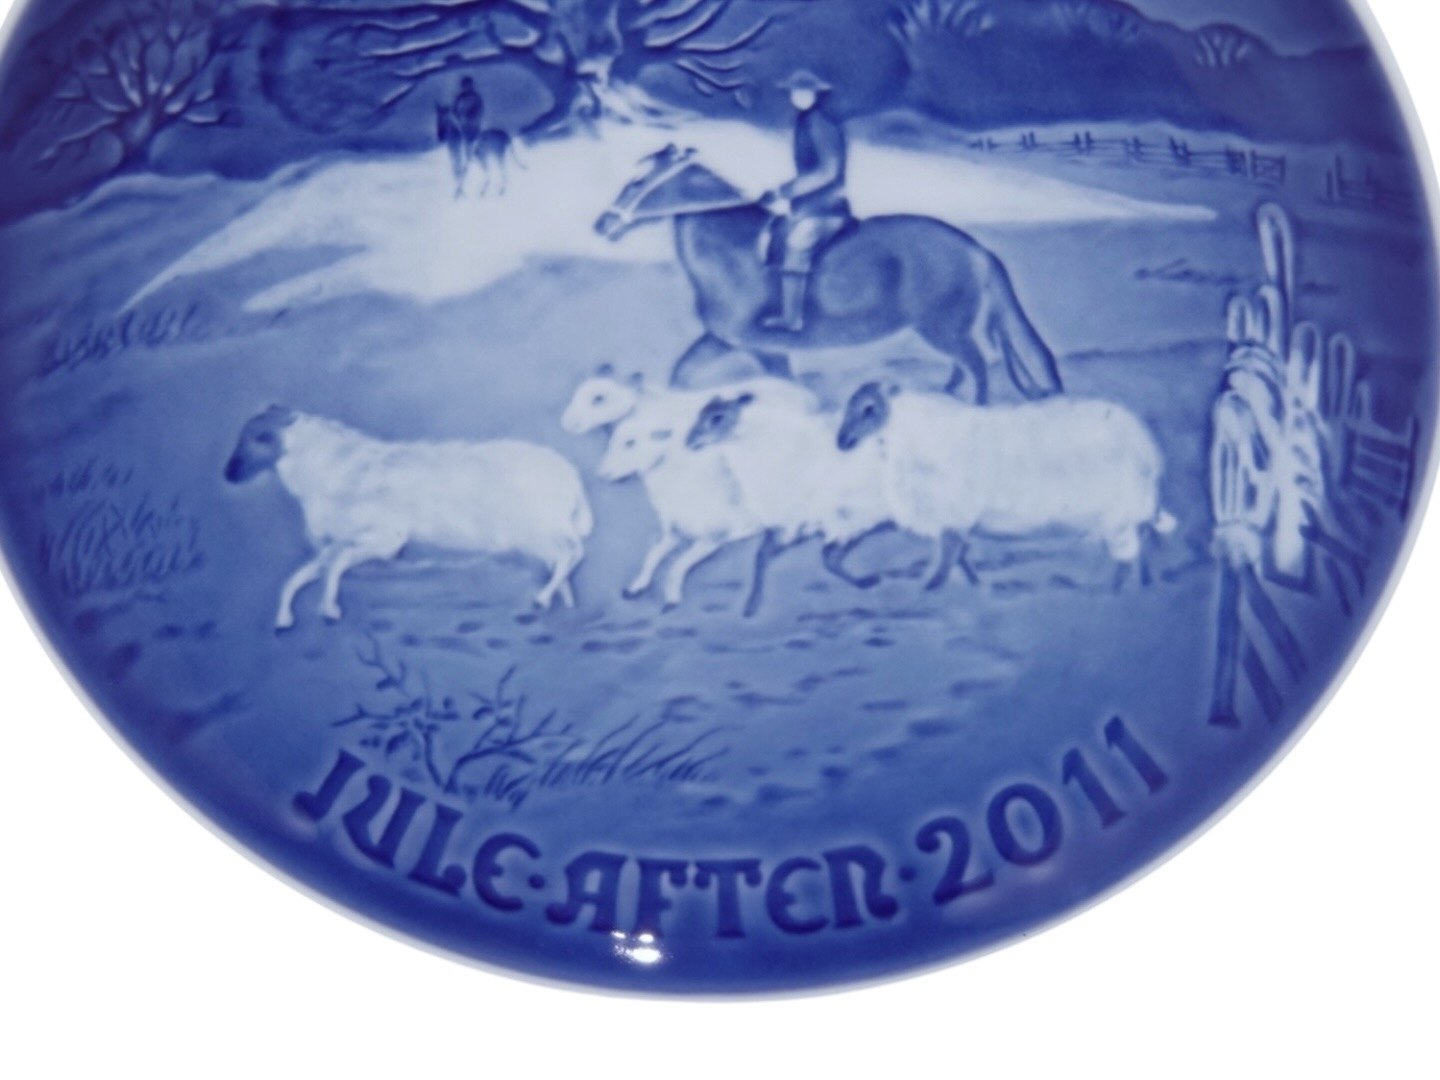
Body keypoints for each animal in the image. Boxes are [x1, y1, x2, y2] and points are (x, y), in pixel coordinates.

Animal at [594, 145, 1064, 403]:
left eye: (638, 182)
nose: (603, 224)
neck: (735, 250)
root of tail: (976, 249)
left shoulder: (766, 348)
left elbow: (789, 387)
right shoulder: (721, 340)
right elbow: (681, 377)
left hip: (943, 327)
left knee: (978, 366)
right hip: (944, 330)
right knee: (964, 366)